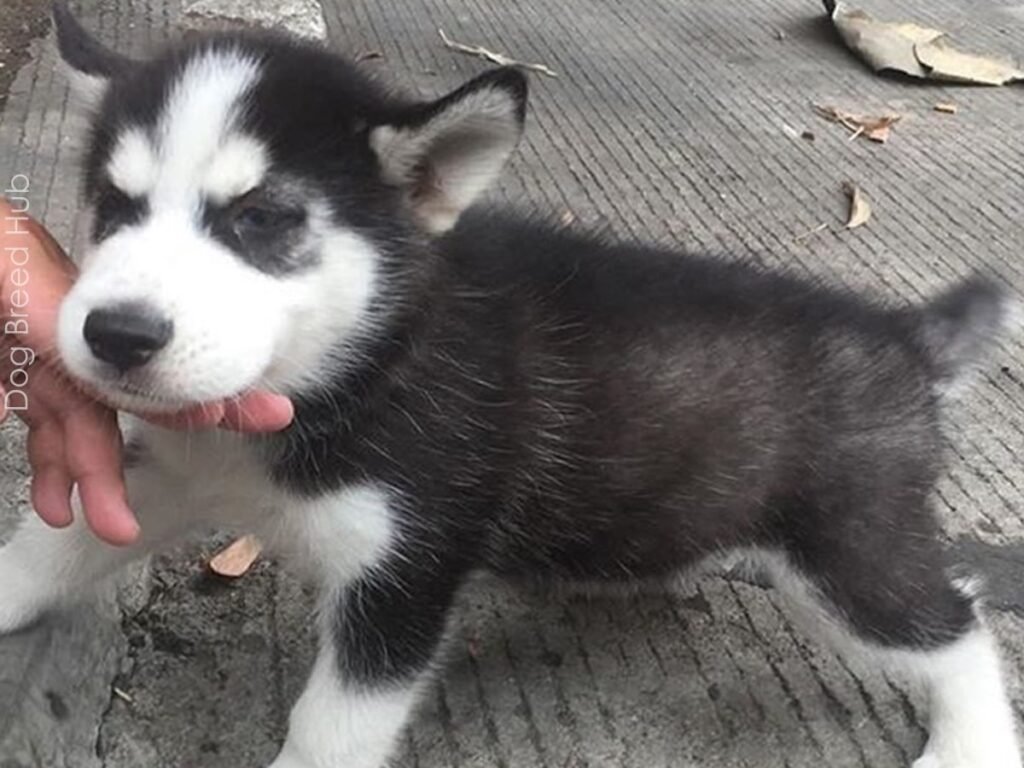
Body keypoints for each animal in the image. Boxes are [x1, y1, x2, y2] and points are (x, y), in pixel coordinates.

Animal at [2, 3, 1024, 765]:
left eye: (260, 219)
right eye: (115, 206)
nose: (116, 334)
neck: (355, 366)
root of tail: (902, 336)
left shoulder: (406, 573)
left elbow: (331, 729)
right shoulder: (171, 471)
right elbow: (51, 547)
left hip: (845, 547)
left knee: (953, 624)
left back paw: (971, 744)